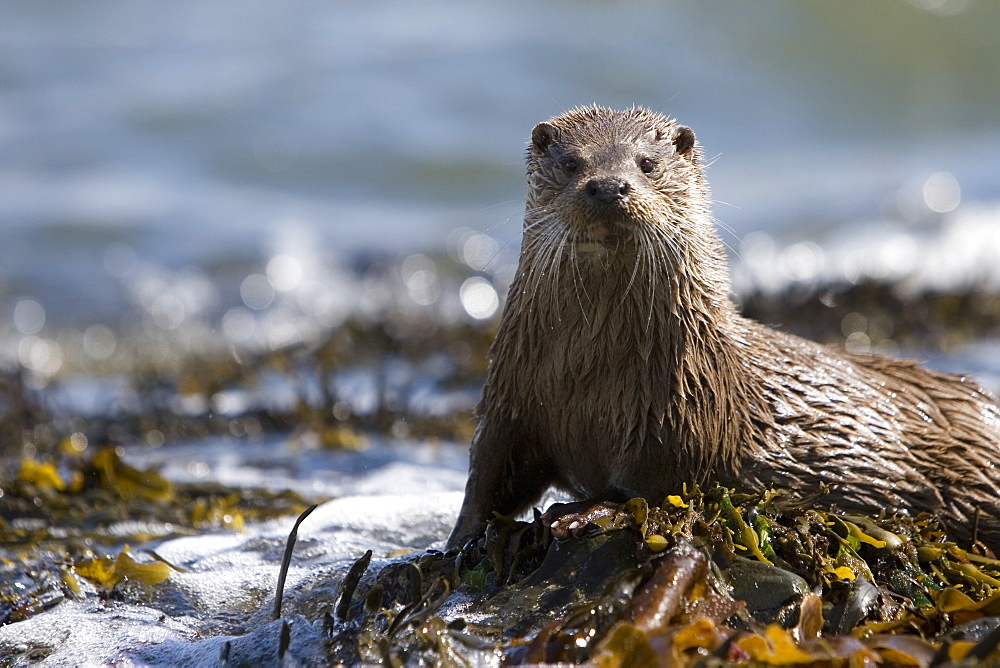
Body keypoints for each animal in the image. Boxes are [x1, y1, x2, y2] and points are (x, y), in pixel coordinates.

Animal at [450, 107, 1000, 552]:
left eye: (646, 164)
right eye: (571, 164)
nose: (608, 185)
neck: (589, 374)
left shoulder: (684, 414)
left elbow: (649, 484)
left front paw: (583, 512)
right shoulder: (510, 395)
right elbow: (488, 474)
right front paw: (458, 542)